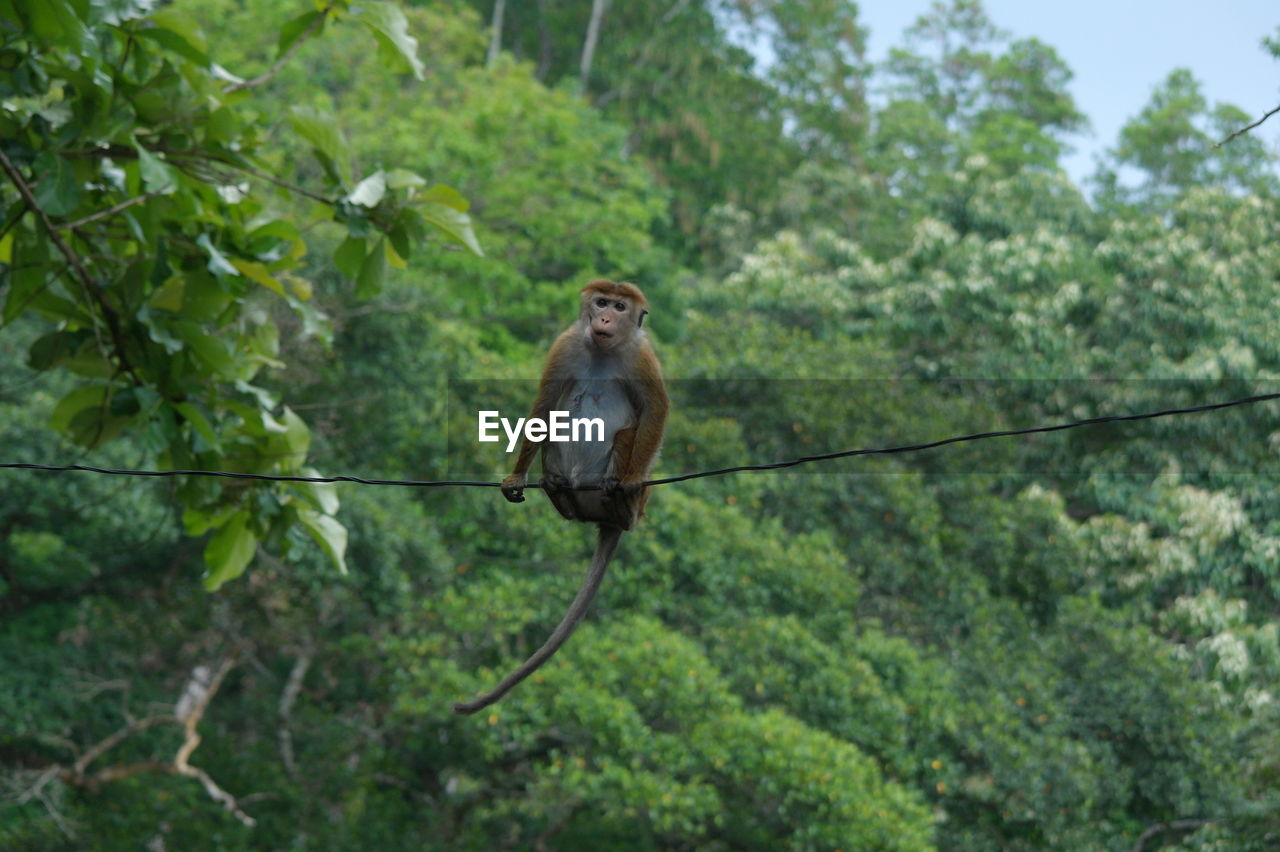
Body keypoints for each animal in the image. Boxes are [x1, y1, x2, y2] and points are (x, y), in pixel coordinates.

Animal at [453, 278, 670, 711]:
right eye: (601, 303)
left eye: (620, 307)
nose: (604, 319)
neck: (603, 350)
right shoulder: (566, 344)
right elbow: (544, 404)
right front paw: (515, 476)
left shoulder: (641, 356)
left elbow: (655, 410)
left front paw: (633, 480)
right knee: (552, 427)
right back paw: (559, 491)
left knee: (627, 436)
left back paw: (622, 502)